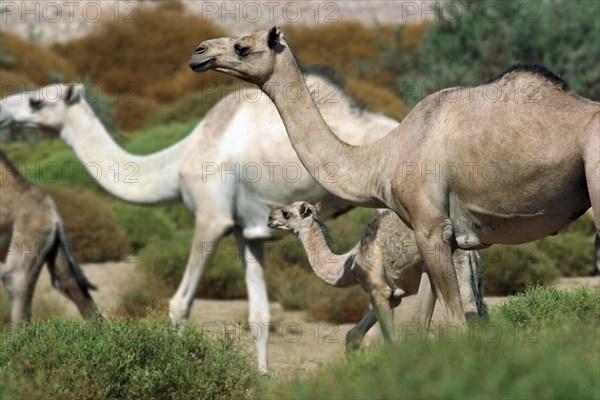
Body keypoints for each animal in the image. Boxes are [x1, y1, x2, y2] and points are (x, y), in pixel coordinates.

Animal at [189, 27, 600, 322]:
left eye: (242, 46)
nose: (199, 52)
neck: (383, 159)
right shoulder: (445, 240)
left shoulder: (431, 227)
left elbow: (454, 323)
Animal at [268, 202, 488, 348]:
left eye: (286, 213)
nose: (270, 218)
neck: (351, 261)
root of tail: (471, 254)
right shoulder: (392, 295)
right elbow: (353, 334)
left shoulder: (377, 288)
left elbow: (391, 341)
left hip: (454, 274)